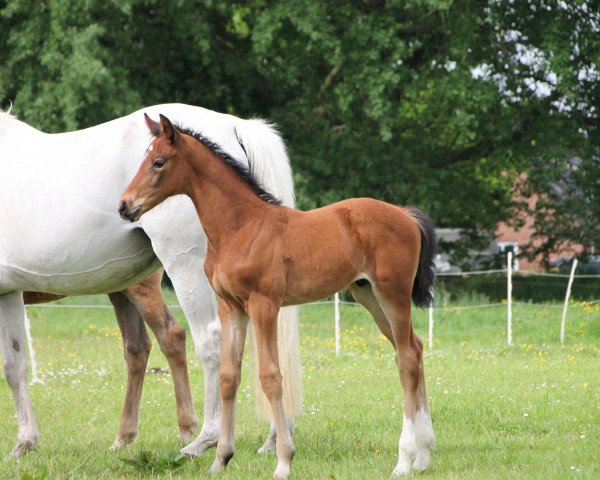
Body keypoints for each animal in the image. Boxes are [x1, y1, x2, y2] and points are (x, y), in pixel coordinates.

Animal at [0, 104, 300, 458]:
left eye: (157, 161)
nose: (124, 205)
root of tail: (236, 125)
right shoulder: (8, 292)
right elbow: (15, 364)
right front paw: (24, 442)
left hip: (184, 267)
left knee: (209, 341)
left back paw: (206, 438)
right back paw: (275, 437)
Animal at [118, 114, 436, 478]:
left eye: (158, 162)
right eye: (143, 158)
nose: (124, 206)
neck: (241, 228)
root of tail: (406, 215)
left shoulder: (263, 304)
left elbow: (270, 376)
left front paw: (283, 460)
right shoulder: (232, 307)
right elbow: (229, 376)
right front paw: (221, 459)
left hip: (392, 293)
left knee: (407, 359)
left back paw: (404, 459)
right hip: (368, 295)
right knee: (413, 349)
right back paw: (424, 455)